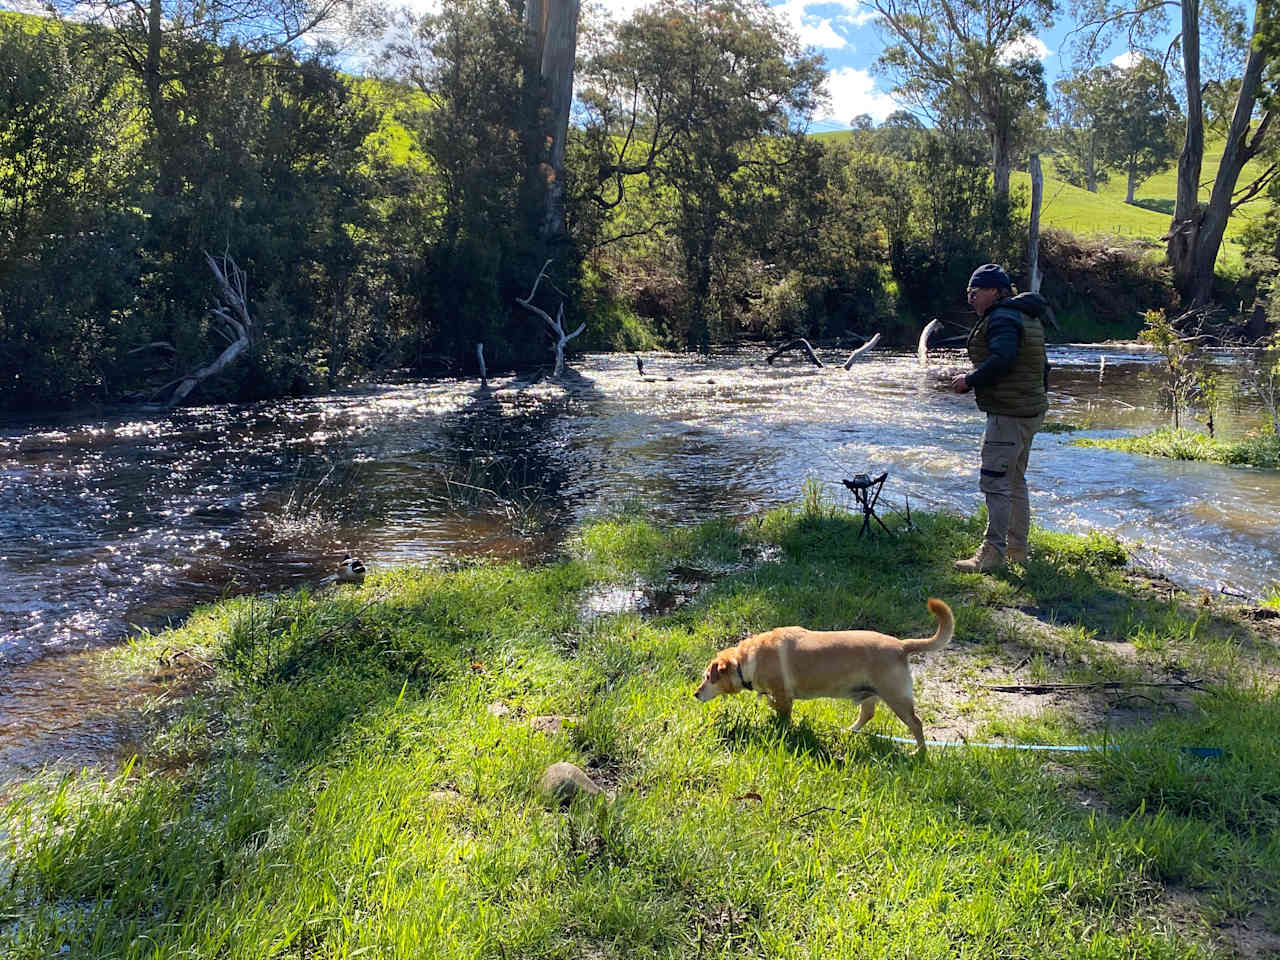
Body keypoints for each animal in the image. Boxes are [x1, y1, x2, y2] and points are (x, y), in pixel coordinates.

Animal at [696, 599, 957, 757]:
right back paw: (850, 731)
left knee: (916, 723)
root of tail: (902, 646)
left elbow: (783, 715)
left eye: (708, 677)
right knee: (867, 714)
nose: (695, 693)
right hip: (869, 694)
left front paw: (782, 728)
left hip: (896, 698)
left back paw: (919, 753)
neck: (746, 660)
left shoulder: (783, 695)